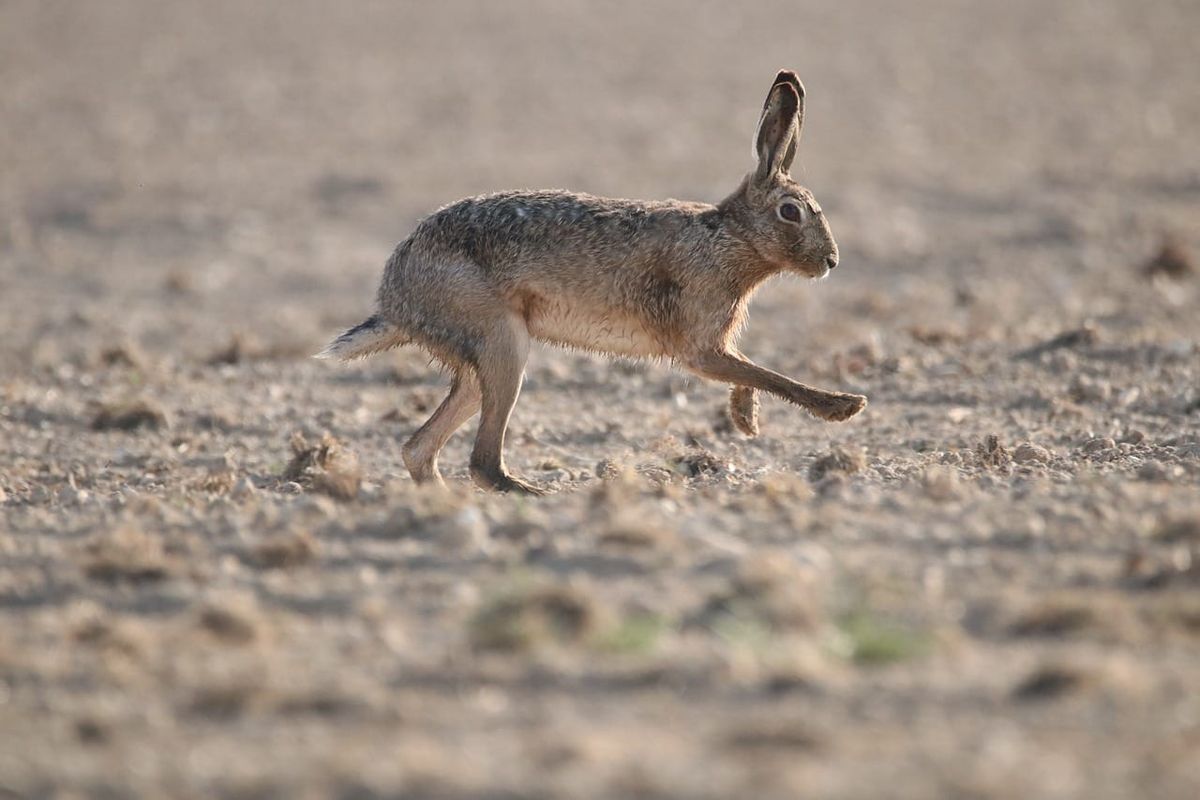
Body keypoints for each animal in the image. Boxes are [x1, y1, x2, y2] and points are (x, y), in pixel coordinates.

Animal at [318, 69, 866, 495]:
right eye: (790, 212)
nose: (831, 261)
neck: (729, 236)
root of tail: (394, 298)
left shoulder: (717, 345)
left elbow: (750, 373)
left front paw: (745, 419)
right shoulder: (701, 347)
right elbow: (765, 374)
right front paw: (842, 407)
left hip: (482, 364)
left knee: (420, 448)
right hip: (501, 342)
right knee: (481, 462)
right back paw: (529, 495)